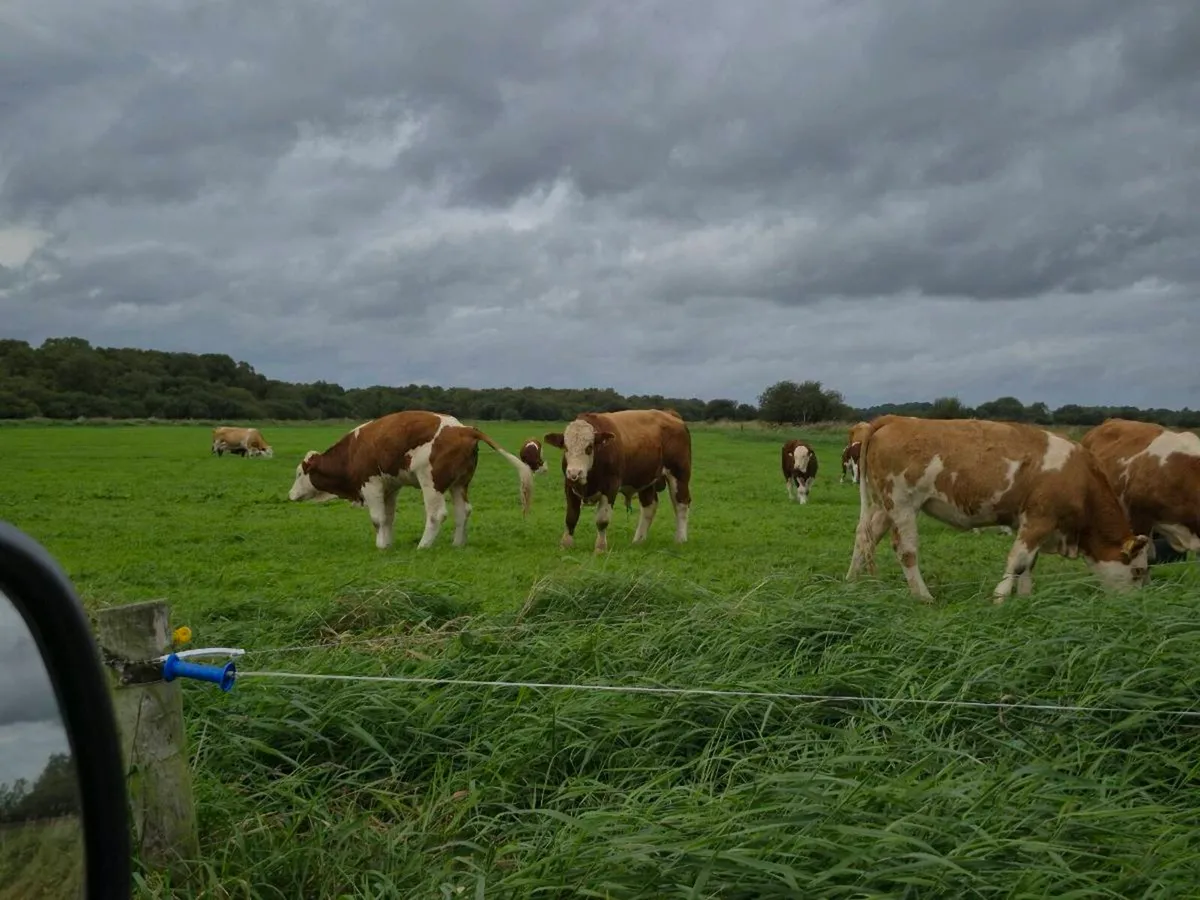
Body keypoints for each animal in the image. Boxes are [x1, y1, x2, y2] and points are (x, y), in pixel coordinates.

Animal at [287, 411, 533, 550]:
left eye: (299, 474)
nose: (290, 495)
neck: (351, 452)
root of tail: (464, 429)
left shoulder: (371, 485)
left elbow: (377, 519)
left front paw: (380, 546)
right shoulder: (390, 488)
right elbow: (388, 518)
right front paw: (388, 543)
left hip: (431, 482)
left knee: (436, 514)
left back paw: (424, 546)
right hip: (459, 483)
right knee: (463, 511)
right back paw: (457, 544)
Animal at [543, 408, 692, 553]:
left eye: (589, 447)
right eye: (566, 448)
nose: (575, 473)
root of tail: (669, 413)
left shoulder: (610, 487)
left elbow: (602, 520)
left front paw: (600, 547)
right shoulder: (569, 485)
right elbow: (571, 517)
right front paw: (566, 544)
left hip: (679, 475)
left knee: (681, 504)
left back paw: (680, 539)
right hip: (646, 480)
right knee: (649, 507)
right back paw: (638, 540)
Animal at [846, 415, 1151, 603]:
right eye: (1138, 572)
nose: (1133, 606)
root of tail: (893, 419)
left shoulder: (1030, 523)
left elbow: (1028, 564)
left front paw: (1026, 598)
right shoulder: (1040, 519)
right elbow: (1017, 561)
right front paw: (1001, 597)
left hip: (884, 506)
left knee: (864, 538)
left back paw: (853, 583)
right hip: (902, 504)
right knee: (906, 550)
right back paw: (923, 596)